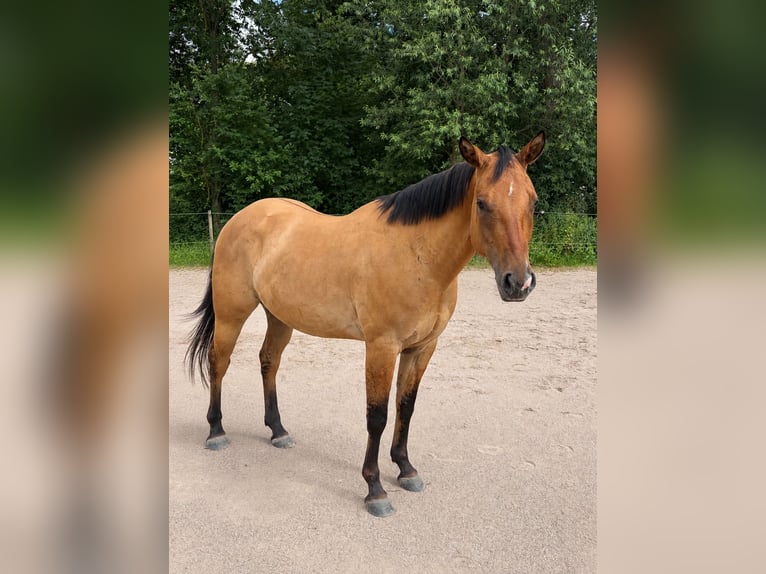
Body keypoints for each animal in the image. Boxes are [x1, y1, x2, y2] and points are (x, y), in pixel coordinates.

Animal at [186, 133, 545, 517]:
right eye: (482, 203)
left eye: (533, 201)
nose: (518, 283)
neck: (417, 255)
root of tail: (238, 219)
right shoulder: (382, 347)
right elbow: (378, 415)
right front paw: (375, 489)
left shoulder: (422, 347)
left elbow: (406, 407)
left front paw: (405, 469)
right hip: (231, 314)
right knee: (218, 363)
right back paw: (216, 432)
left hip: (279, 317)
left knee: (268, 362)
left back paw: (278, 431)